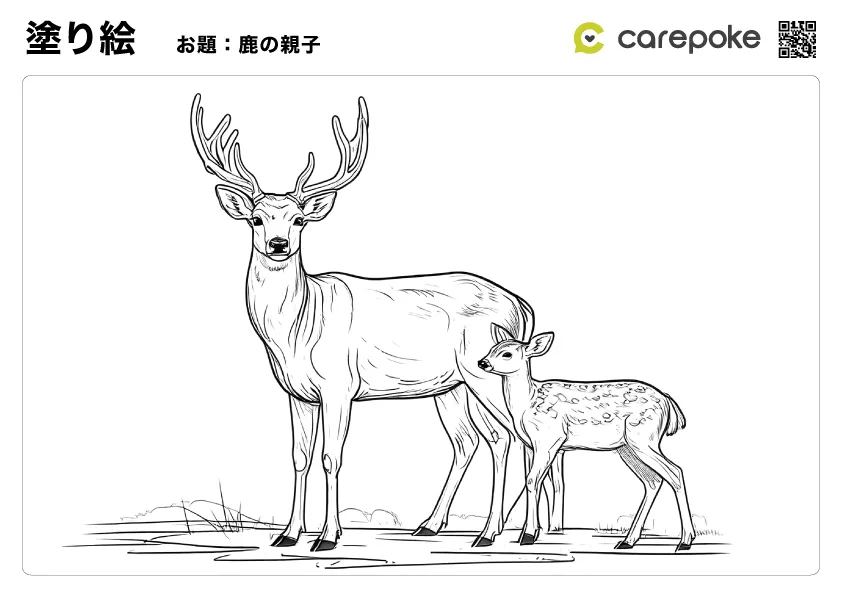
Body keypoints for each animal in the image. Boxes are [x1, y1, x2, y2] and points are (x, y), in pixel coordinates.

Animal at [189, 94, 565, 551]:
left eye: (299, 220)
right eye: (256, 219)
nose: (278, 244)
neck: (297, 330)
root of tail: (524, 307)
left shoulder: (339, 385)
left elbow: (331, 456)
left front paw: (328, 537)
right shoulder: (296, 393)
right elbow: (299, 457)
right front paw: (288, 535)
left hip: (487, 371)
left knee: (510, 438)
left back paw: (497, 532)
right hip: (452, 386)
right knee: (472, 442)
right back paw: (435, 525)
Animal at [478, 326, 696, 552]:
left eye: (507, 354)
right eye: (491, 348)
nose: (482, 363)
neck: (526, 403)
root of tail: (668, 401)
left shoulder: (549, 438)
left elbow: (532, 480)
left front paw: (528, 535)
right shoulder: (532, 445)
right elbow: (537, 480)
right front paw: (529, 533)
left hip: (644, 437)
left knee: (675, 472)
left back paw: (684, 541)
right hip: (627, 447)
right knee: (652, 481)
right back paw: (627, 541)